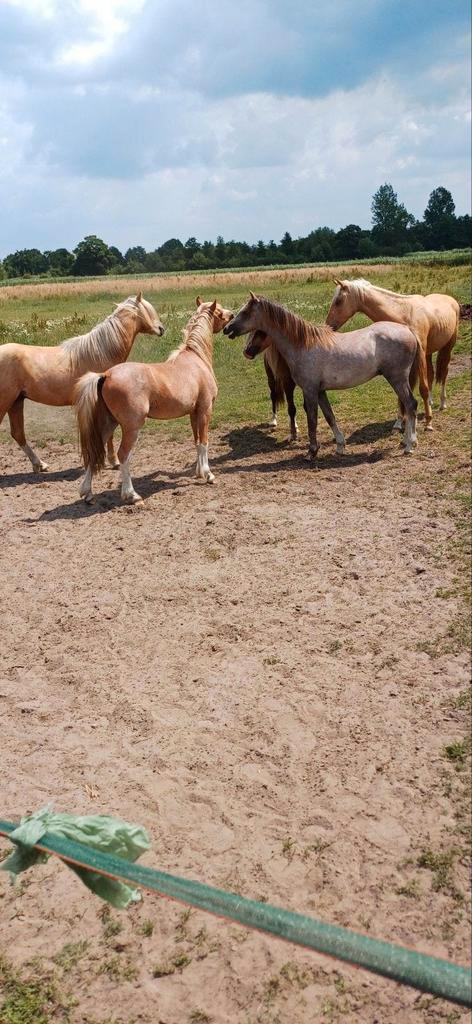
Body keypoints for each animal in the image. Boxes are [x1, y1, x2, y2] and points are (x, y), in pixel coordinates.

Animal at [0, 293, 164, 473]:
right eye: (147, 310)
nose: (161, 329)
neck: (100, 353)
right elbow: (109, 433)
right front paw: (113, 461)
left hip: (16, 402)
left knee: (18, 434)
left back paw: (40, 464)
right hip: (7, 402)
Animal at [75, 297, 233, 505]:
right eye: (219, 312)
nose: (232, 316)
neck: (196, 358)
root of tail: (106, 375)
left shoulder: (193, 412)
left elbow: (197, 441)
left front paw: (199, 472)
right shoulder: (206, 409)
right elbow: (205, 441)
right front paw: (208, 475)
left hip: (109, 423)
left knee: (94, 451)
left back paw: (87, 493)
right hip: (131, 427)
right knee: (123, 455)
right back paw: (131, 495)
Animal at [224, 293, 420, 458]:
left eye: (246, 312)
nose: (227, 328)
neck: (303, 344)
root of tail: (408, 330)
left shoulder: (309, 390)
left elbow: (312, 420)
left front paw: (312, 451)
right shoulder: (320, 391)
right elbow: (329, 416)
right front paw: (340, 446)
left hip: (397, 378)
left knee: (411, 404)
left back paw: (409, 446)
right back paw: (407, 441)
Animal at [325, 278, 460, 430]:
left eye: (338, 301)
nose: (328, 325)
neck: (404, 315)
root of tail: (450, 299)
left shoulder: (419, 356)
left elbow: (422, 388)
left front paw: (429, 422)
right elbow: (403, 393)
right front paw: (399, 421)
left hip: (447, 347)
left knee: (444, 373)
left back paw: (442, 403)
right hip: (428, 354)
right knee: (431, 374)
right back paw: (430, 402)